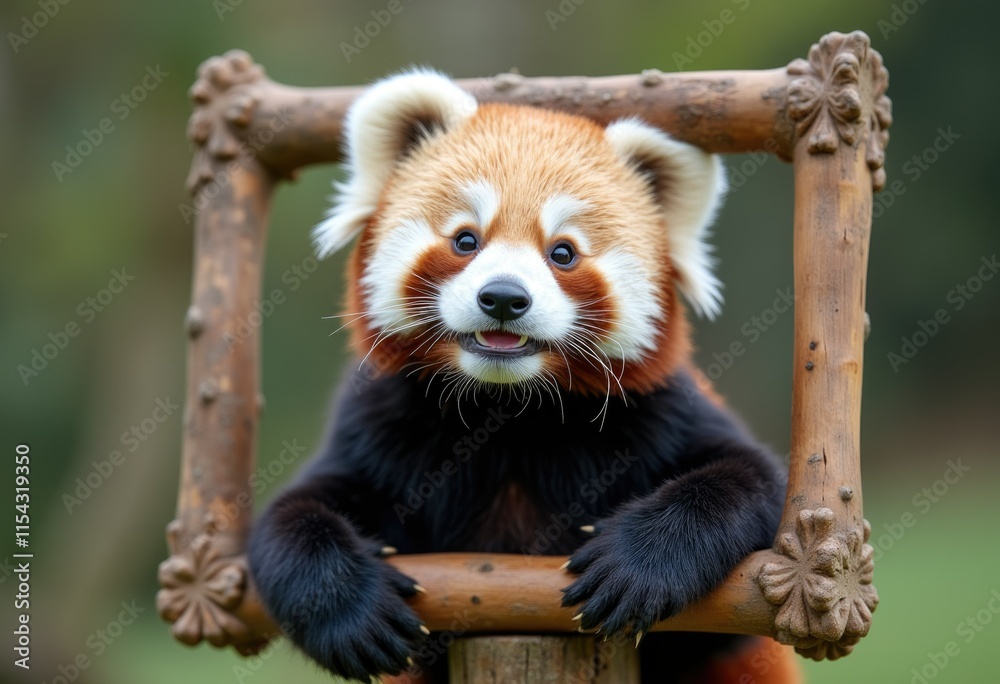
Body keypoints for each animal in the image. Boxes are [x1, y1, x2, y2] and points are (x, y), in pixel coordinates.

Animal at [248, 70, 797, 683]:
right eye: (466, 239)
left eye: (563, 253)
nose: (504, 298)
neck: (508, 411)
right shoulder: (378, 431)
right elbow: (288, 520)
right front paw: (349, 612)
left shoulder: (662, 414)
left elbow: (754, 482)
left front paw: (637, 566)